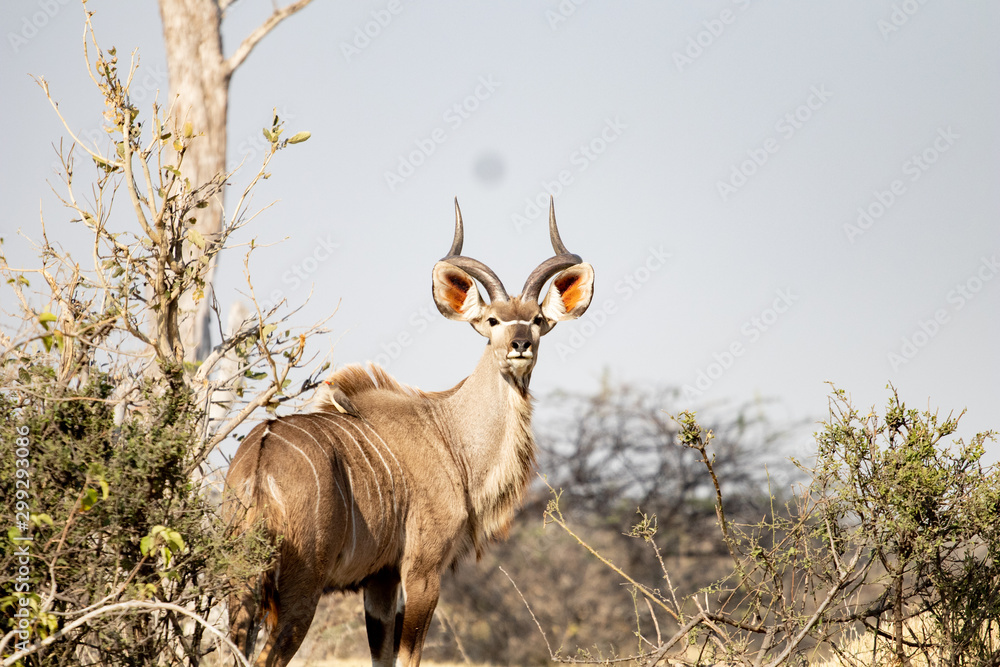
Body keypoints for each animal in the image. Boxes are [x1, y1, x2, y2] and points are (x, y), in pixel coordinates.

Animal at [224, 198, 595, 667]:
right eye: (493, 320)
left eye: (538, 319)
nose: (520, 345)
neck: (449, 432)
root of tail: (260, 457)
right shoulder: (421, 569)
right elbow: (408, 655)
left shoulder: (380, 580)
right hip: (300, 588)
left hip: (241, 587)